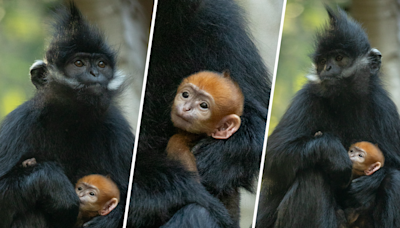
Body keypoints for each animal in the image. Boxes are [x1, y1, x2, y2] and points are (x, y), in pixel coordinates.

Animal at [0, 4, 133, 228]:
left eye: (101, 64)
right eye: (78, 63)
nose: (95, 74)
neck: (72, 122)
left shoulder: (118, 131)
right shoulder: (18, 125)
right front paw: (54, 184)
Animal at [256, 7, 400, 228]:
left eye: (339, 58)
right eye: (323, 61)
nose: (327, 69)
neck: (346, 102)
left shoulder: (385, 109)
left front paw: (369, 185)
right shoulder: (307, 98)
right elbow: (272, 153)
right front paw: (333, 152)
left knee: (395, 181)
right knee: (312, 173)